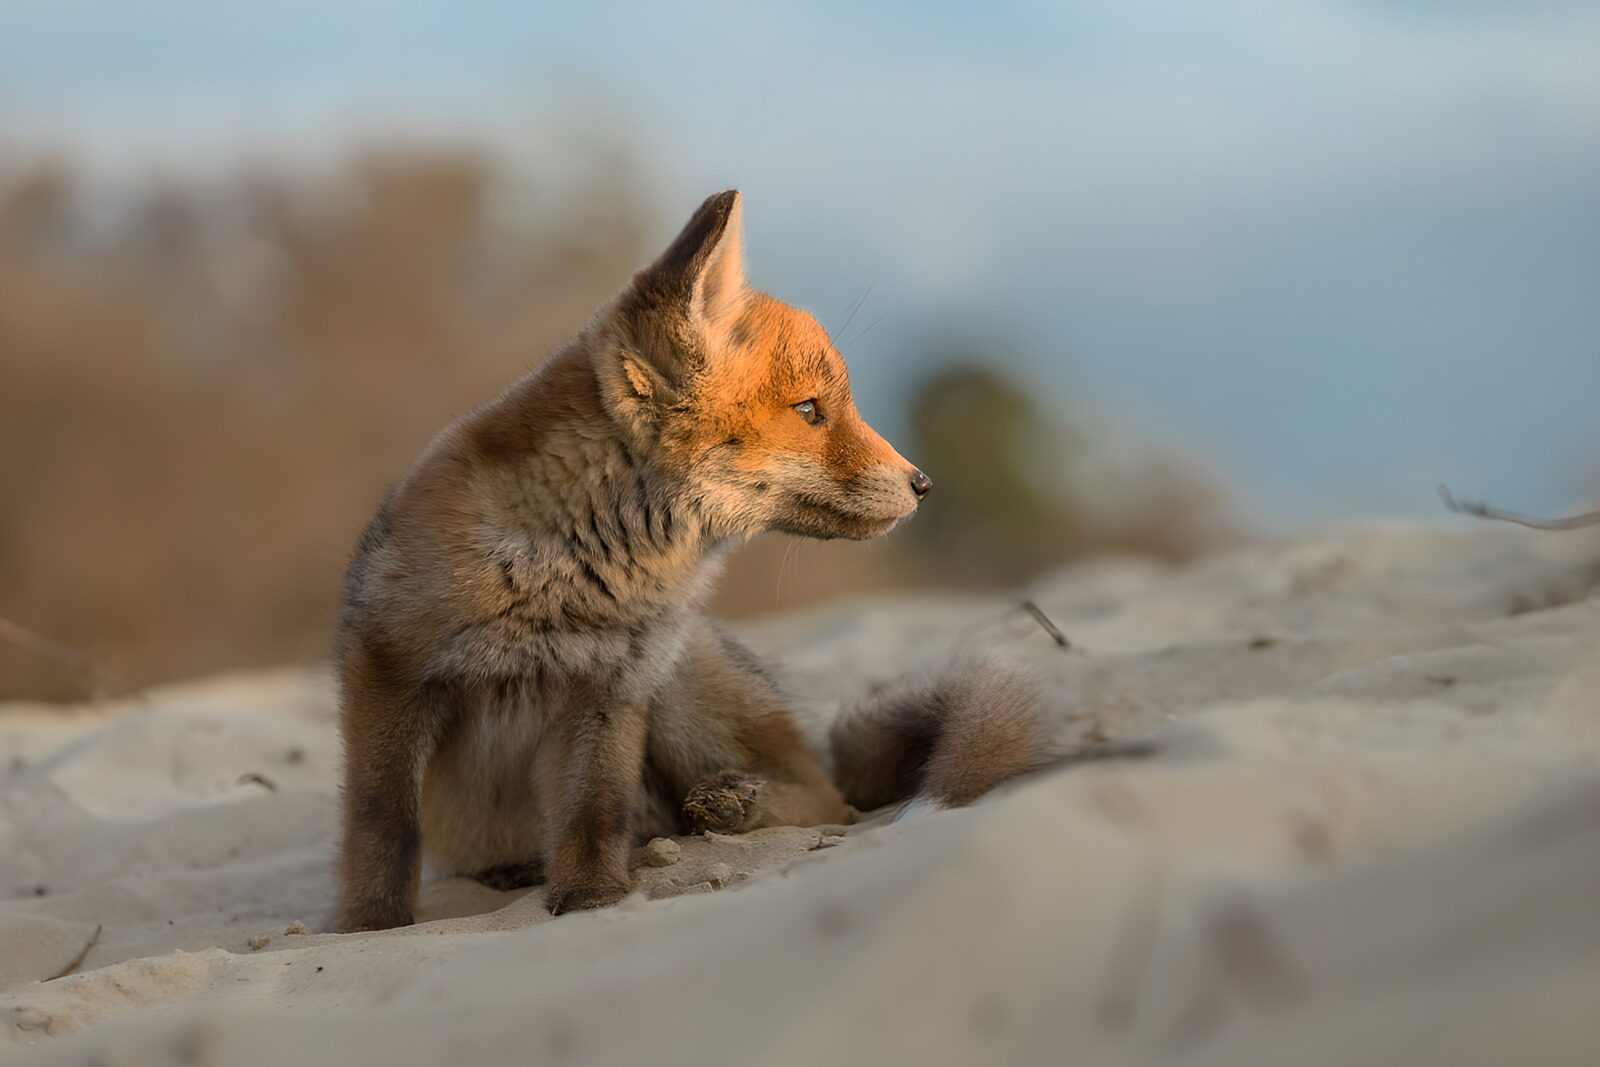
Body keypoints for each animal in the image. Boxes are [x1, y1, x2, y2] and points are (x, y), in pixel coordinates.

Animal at [334, 190, 1055, 933]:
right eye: (809, 410)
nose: (923, 484)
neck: (567, 576)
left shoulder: (616, 687)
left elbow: (592, 813)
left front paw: (593, 900)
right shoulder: (387, 668)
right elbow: (383, 827)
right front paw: (371, 924)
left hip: (680, 679)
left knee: (830, 799)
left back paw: (732, 808)